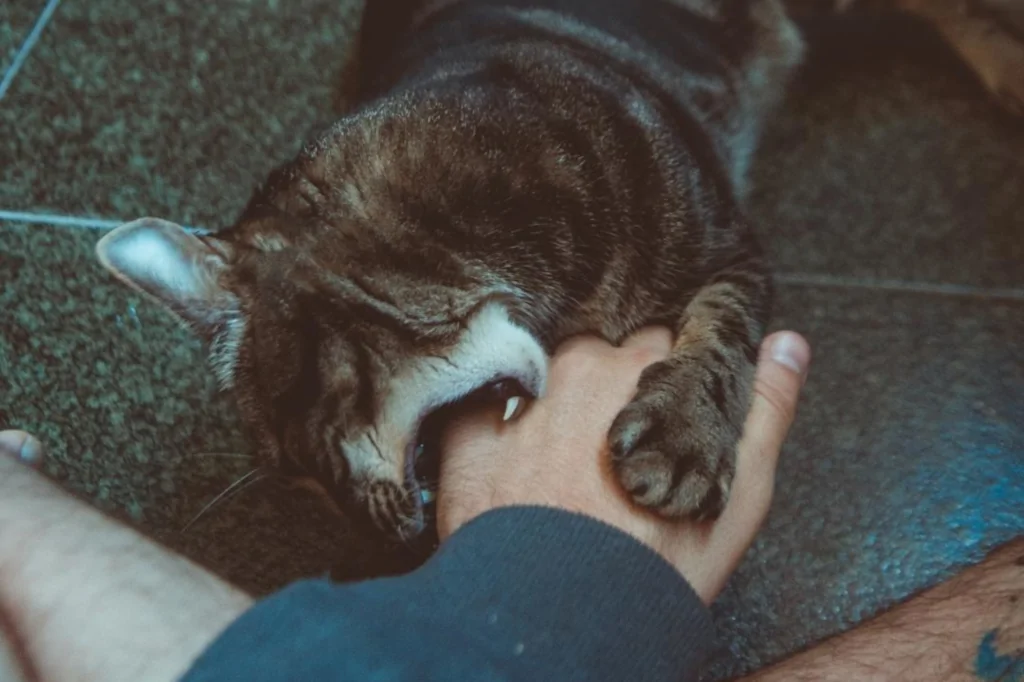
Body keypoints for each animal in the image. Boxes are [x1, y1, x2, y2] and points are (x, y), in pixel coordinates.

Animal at [92, 0, 1019, 557]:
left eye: (305, 454)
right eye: (299, 489)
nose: (384, 541)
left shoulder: (731, 252)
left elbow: (722, 339)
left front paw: (684, 436)